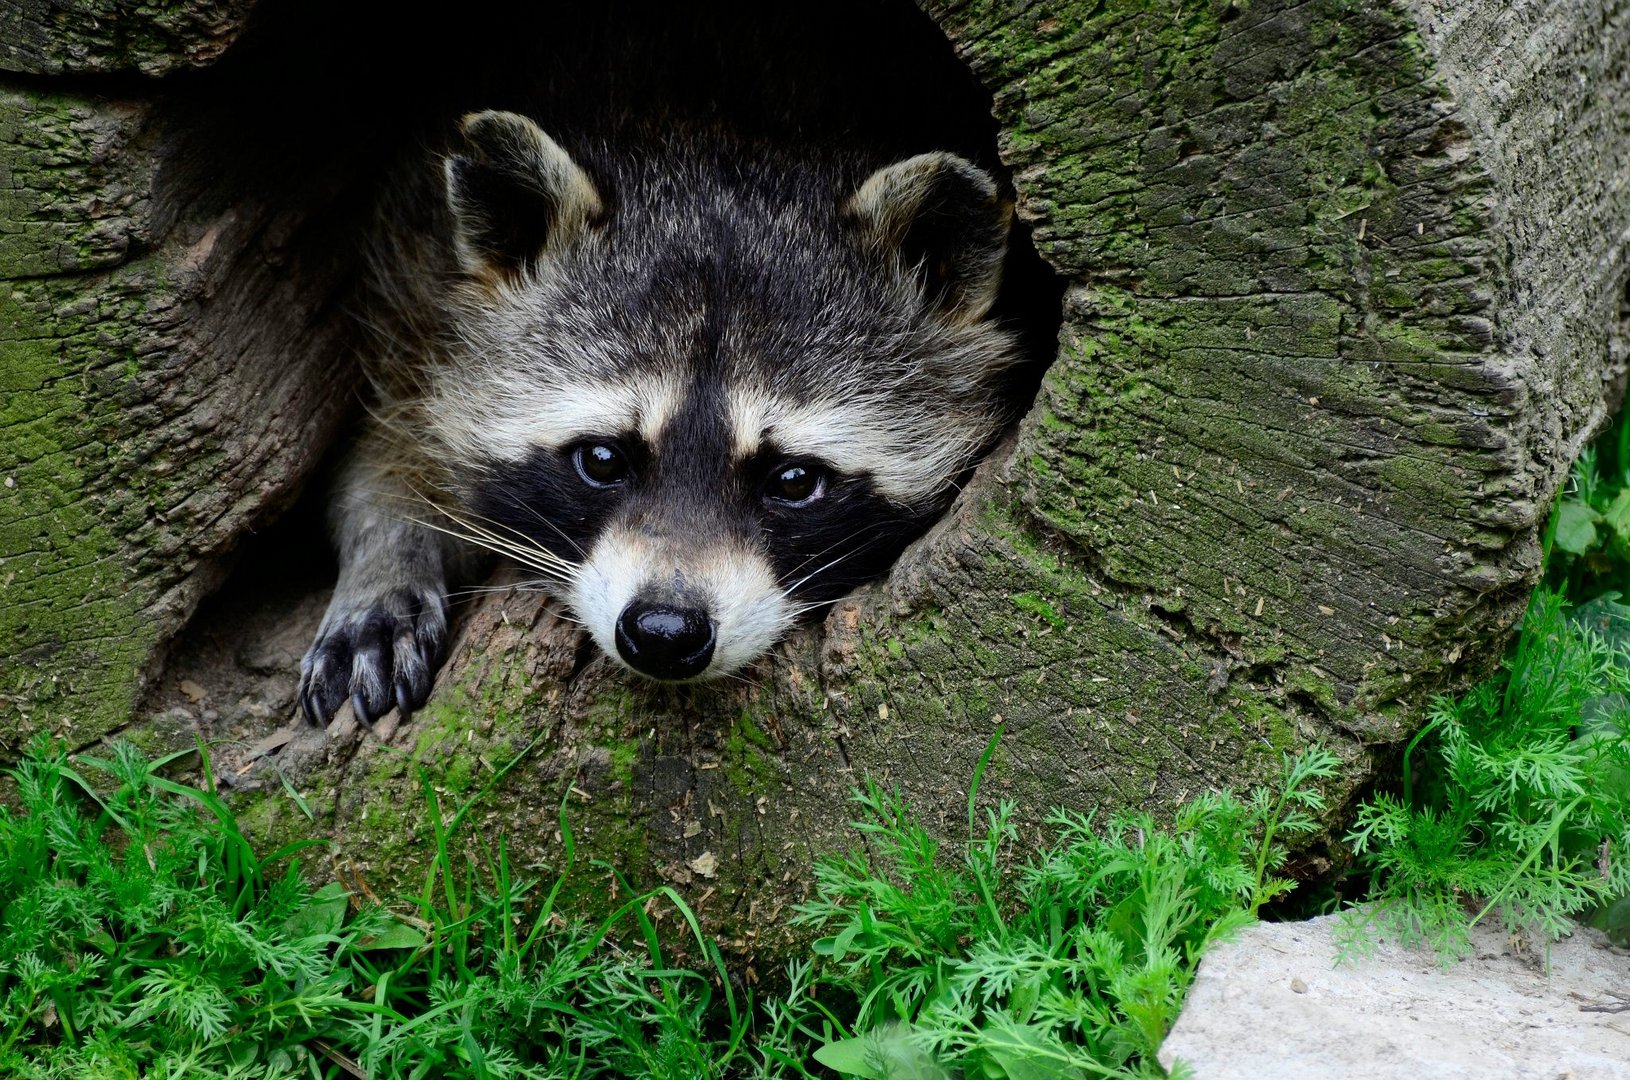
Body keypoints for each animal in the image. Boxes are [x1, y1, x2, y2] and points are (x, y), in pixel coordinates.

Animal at [296, 111, 1017, 726]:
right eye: (602, 459)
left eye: (793, 480)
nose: (665, 633)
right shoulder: (411, 285)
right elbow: (380, 445)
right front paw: (388, 554)